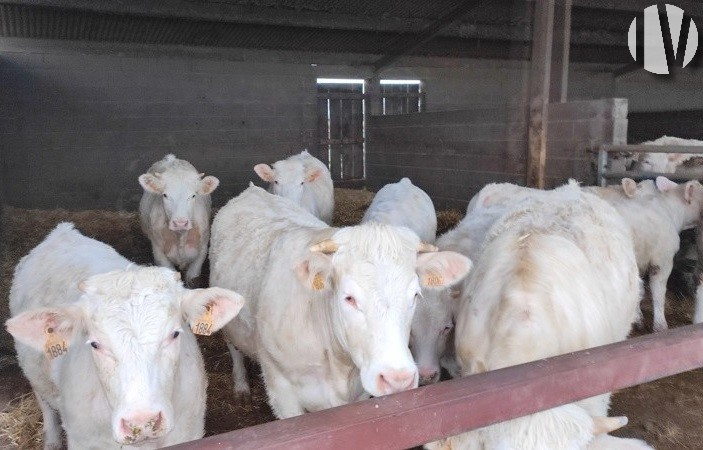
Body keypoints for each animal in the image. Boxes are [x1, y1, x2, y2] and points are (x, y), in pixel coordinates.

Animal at [139, 155, 219, 284]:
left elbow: (192, 278)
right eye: (165, 195)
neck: (180, 236)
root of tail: (171, 158)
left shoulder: (202, 250)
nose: (180, 223)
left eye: (193, 195)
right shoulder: (159, 253)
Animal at [210, 186, 472, 418]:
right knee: (234, 348)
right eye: (349, 298)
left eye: (415, 295)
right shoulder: (281, 391)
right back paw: (241, 386)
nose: (397, 378)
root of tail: (251, 191)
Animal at [588, 178, 703, 332]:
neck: (669, 211)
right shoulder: (662, 260)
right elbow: (658, 292)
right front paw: (660, 325)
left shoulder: (640, 261)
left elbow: (639, 289)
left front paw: (638, 318)